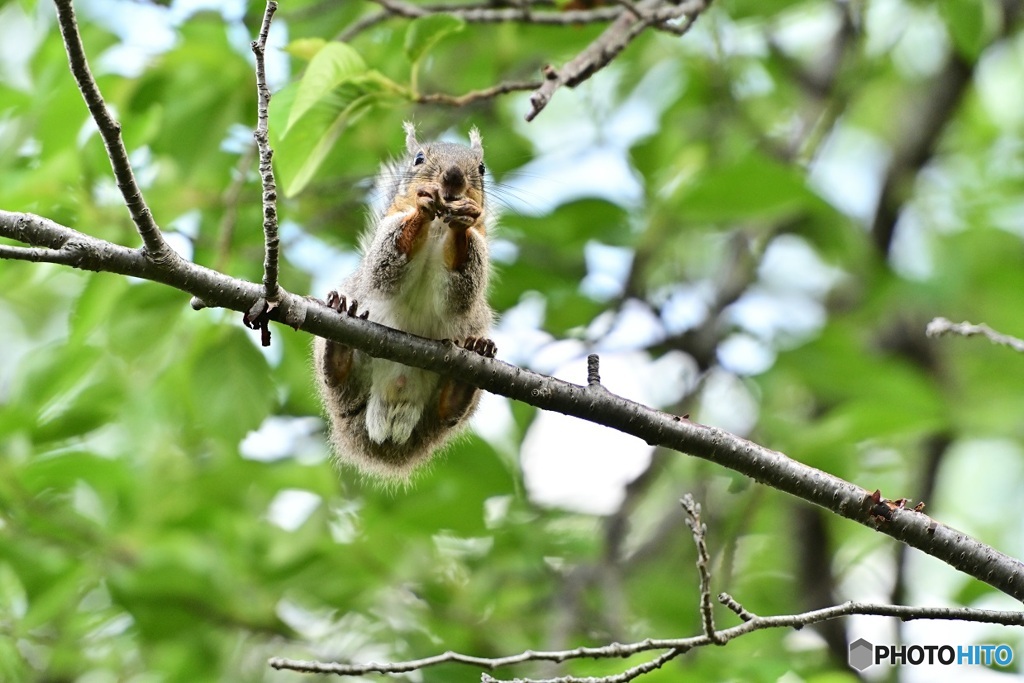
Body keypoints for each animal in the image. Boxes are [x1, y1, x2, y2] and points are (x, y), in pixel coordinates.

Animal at [315, 122, 499, 483]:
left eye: (482, 168)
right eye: (418, 159)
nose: (453, 176)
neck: (440, 225)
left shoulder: (475, 258)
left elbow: (461, 288)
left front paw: (462, 222)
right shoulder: (388, 242)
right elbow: (388, 263)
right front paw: (422, 207)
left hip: (444, 415)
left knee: (446, 414)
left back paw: (464, 376)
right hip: (344, 391)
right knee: (340, 386)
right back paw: (338, 348)